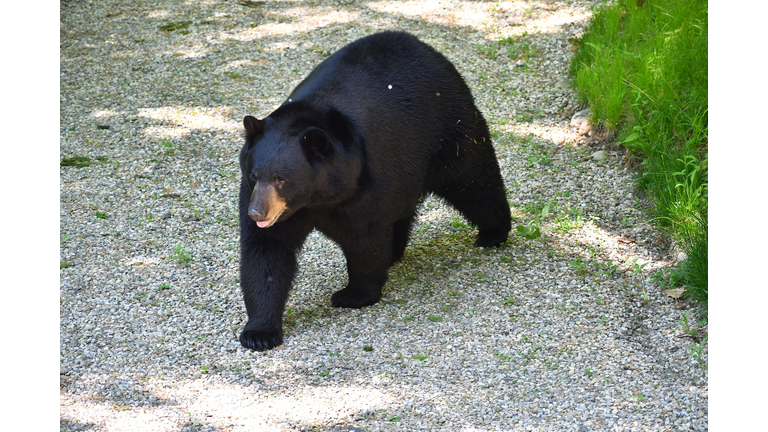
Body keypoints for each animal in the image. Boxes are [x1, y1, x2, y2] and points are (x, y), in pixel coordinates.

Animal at [238, 33, 510, 352]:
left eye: (281, 179)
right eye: (255, 175)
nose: (256, 212)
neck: (317, 197)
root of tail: (426, 48)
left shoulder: (364, 180)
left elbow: (366, 237)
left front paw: (353, 294)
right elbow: (266, 251)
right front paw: (259, 332)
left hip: (450, 131)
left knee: (475, 182)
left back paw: (494, 232)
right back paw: (396, 250)